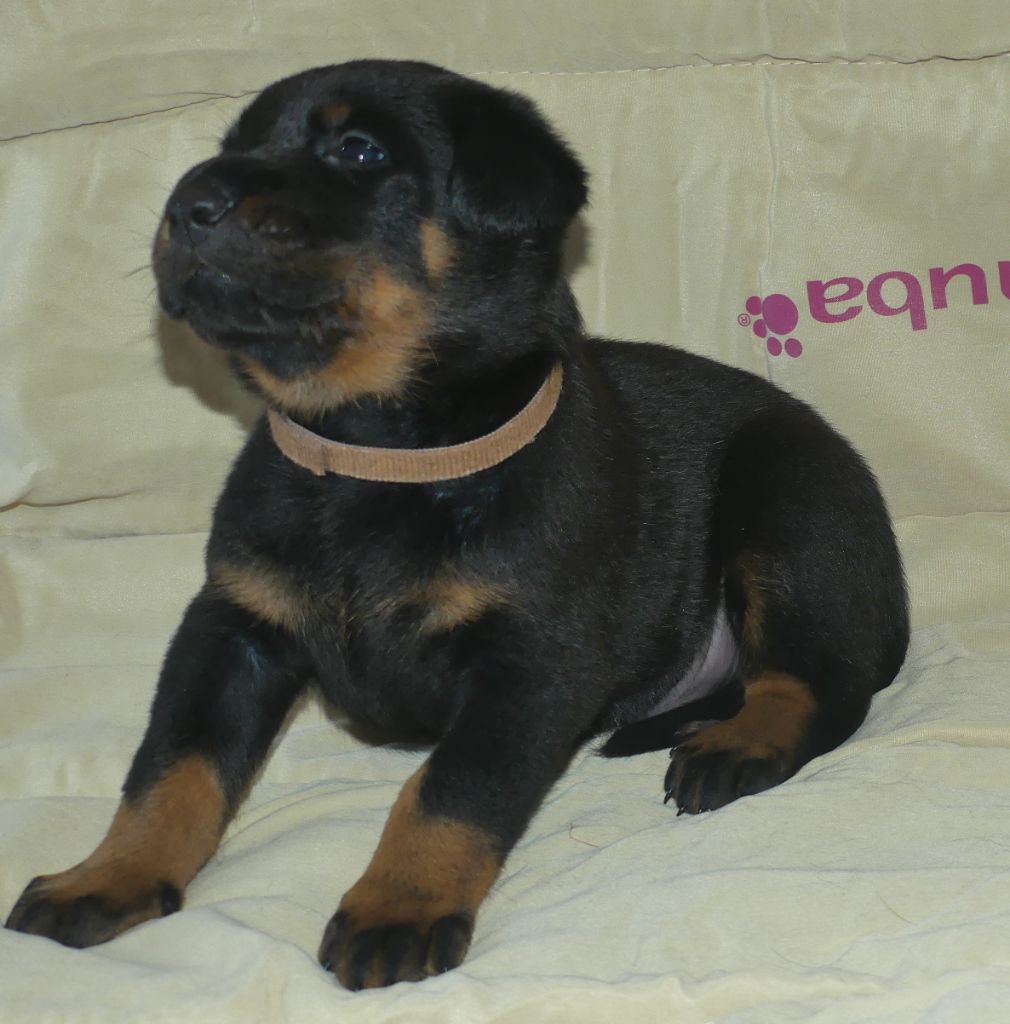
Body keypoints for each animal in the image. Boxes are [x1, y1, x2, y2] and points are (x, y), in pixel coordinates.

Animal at [6, 60, 909, 990]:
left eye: (359, 151)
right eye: (232, 147)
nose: (190, 202)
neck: (374, 451)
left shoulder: (532, 659)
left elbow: (448, 793)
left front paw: (397, 907)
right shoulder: (231, 626)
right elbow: (171, 768)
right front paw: (106, 876)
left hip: (788, 498)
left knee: (821, 681)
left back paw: (739, 745)